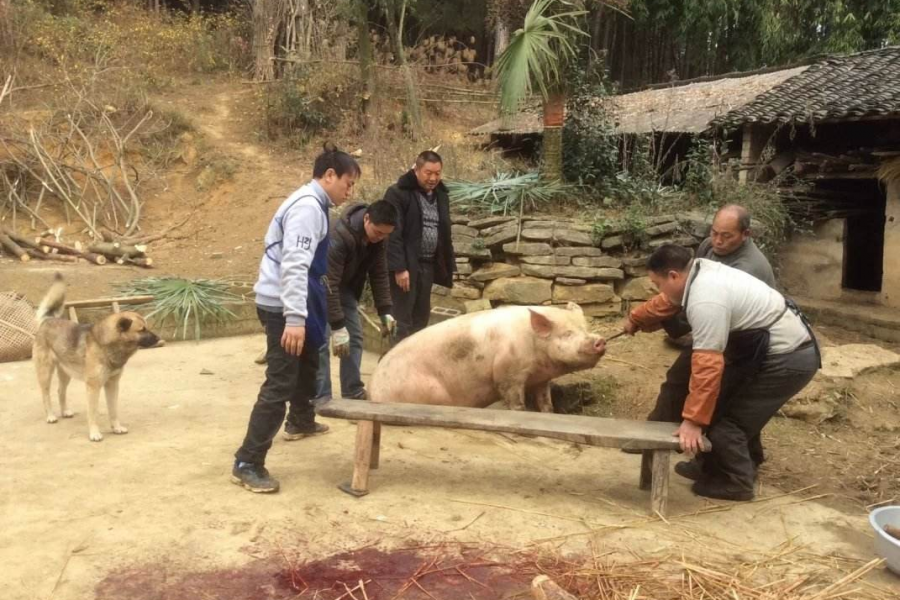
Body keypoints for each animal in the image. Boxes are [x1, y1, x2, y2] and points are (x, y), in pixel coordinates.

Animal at [32, 276, 160, 440]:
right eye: (142, 330)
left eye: (146, 328)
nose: (158, 338)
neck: (105, 344)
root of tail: (48, 320)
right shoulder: (93, 387)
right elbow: (93, 413)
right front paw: (94, 433)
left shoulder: (112, 385)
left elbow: (113, 409)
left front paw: (116, 427)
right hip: (46, 372)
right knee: (45, 394)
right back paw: (50, 416)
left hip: (66, 372)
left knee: (60, 391)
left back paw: (65, 411)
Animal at [370, 304, 608, 412]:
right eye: (567, 334)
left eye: (585, 328)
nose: (600, 340)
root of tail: (373, 390)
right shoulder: (508, 373)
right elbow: (514, 399)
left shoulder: (541, 378)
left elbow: (545, 401)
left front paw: (548, 413)